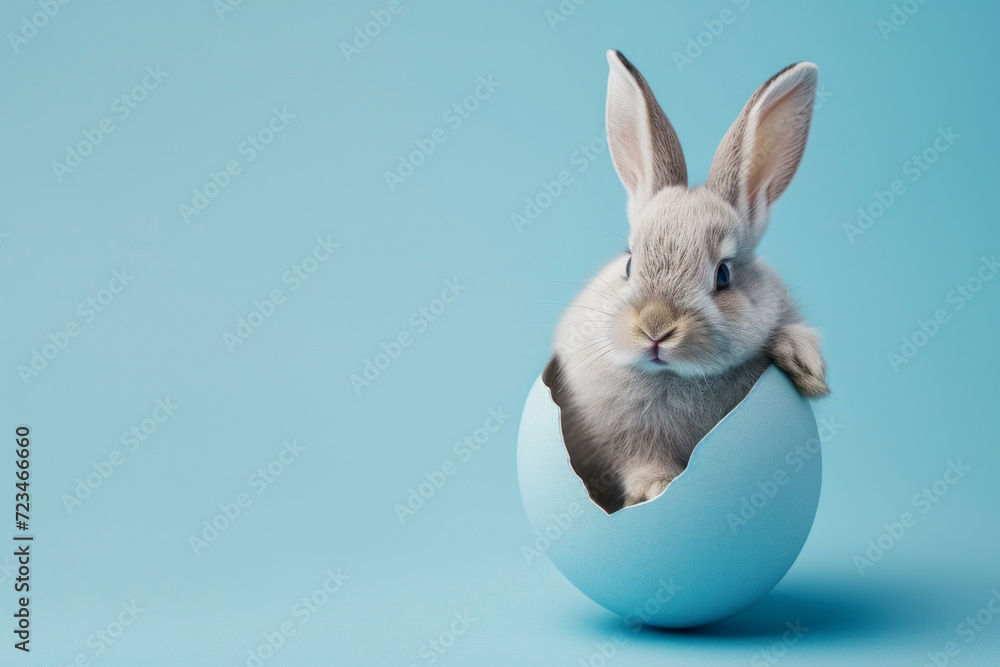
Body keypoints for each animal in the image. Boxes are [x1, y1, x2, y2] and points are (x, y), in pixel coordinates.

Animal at [546, 51, 829, 513]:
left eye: (723, 274)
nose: (655, 327)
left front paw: (803, 363)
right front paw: (657, 489)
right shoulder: (622, 438)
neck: (677, 375)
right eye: (629, 264)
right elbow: (640, 460)